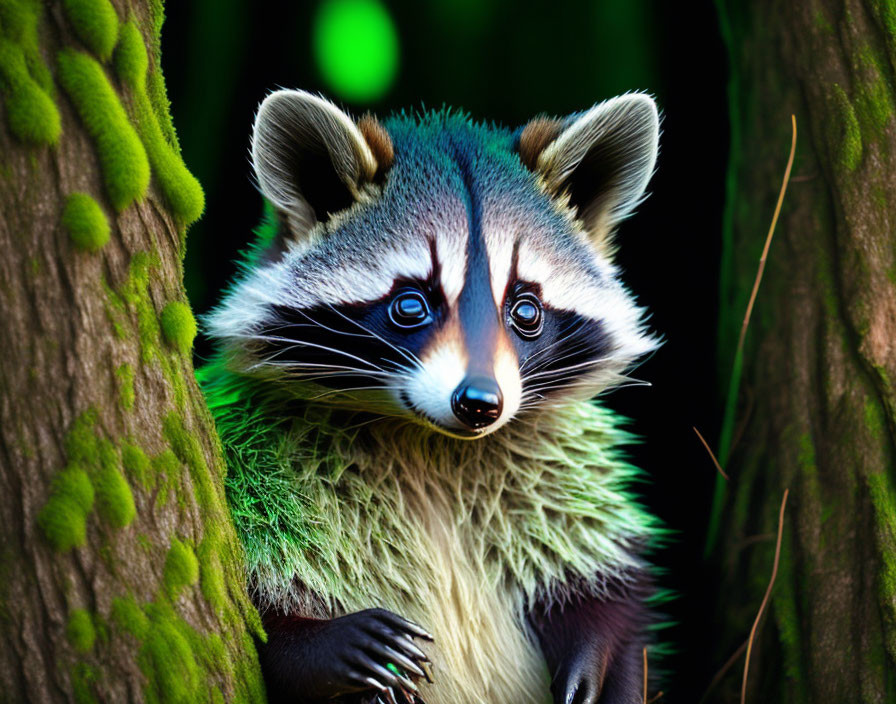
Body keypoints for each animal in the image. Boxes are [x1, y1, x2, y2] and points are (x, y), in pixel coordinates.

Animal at [205, 88, 664, 704]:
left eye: (525, 310)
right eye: (411, 305)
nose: (480, 402)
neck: (430, 441)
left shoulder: (557, 468)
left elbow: (604, 585)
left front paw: (602, 653)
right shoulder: (259, 451)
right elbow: (255, 611)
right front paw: (315, 643)